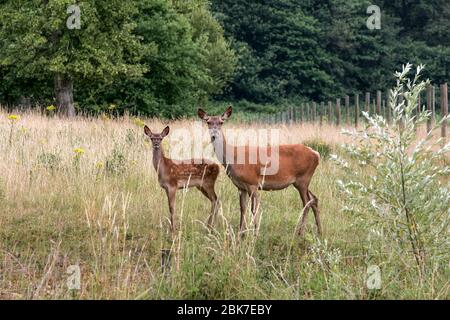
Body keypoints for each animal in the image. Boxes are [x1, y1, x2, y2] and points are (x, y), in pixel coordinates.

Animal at [199, 106, 322, 236]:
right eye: (208, 122)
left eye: (221, 122)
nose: (214, 135)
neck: (233, 158)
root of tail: (316, 154)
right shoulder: (241, 187)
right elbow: (242, 208)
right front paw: (241, 233)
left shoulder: (252, 183)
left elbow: (254, 209)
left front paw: (255, 233)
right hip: (302, 181)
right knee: (314, 199)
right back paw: (320, 231)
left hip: (303, 178)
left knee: (307, 202)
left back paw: (300, 233)